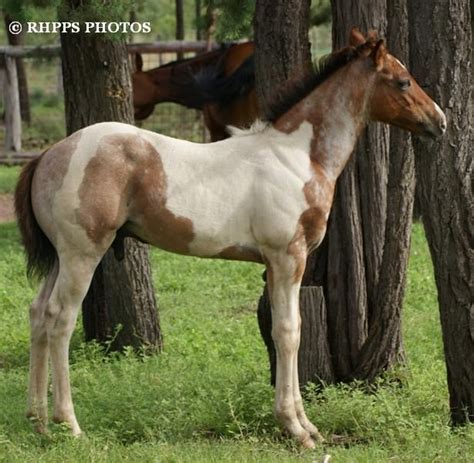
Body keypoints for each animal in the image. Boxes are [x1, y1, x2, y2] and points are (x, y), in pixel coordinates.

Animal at [13, 29, 444, 450]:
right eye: (403, 81)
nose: (439, 121)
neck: (299, 157)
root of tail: (49, 154)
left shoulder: (280, 262)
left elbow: (289, 329)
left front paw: (308, 425)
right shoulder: (287, 257)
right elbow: (288, 332)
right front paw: (297, 429)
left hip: (59, 256)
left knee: (38, 313)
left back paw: (37, 421)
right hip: (82, 253)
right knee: (60, 319)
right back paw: (68, 424)